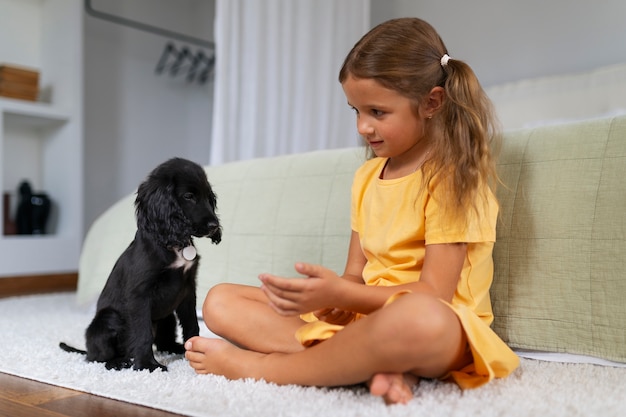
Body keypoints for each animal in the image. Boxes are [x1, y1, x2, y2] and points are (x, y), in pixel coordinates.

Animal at [60, 157, 222, 370]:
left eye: (208, 197)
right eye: (189, 196)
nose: (214, 226)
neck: (173, 244)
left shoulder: (188, 289)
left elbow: (191, 323)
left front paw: (195, 352)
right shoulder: (139, 294)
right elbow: (142, 332)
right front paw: (147, 365)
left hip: (166, 316)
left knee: (163, 342)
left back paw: (175, 348)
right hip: (109, 319)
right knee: (97, 357)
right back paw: (118, 362)